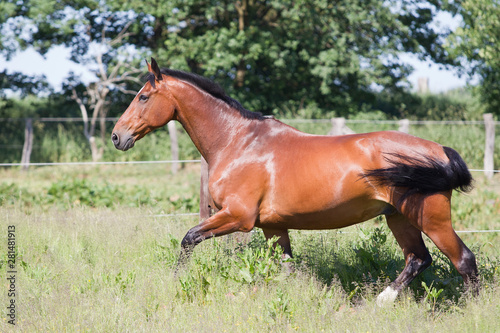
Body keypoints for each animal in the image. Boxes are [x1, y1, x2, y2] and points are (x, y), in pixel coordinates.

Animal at [111, 57, 478, 304]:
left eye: (143, 97)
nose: (117, 136)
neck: (238, 143)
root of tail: (440, 150)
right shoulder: (273, 226)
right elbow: (287, 268)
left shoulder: (238, 217)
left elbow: (188, 239)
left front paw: (174, 283)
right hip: (398, 217)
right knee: (418, 259)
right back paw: (380, 301)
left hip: (430, 218)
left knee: (463, 261)